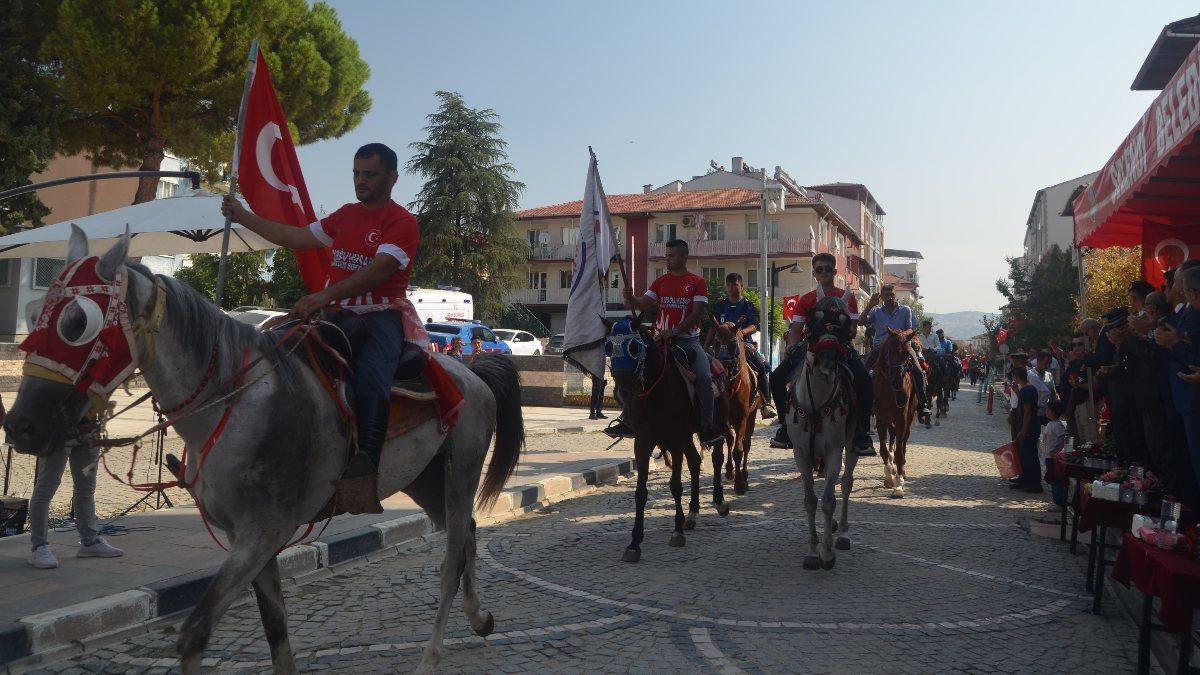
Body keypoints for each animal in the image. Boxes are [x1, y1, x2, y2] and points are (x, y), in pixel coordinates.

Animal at [4, 227, 523, 672]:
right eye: (37, 314)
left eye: (78, 322)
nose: (20, 425)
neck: (233, 403)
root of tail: (473, 373)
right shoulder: (248, 539)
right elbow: (275, 626)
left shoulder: (262, 532)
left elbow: (194, 634)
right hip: (424, 480)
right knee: (467, 533)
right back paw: (480, 618)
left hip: (460, 472)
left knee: (451, 557)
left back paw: (431, 655)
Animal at [710, 319, 758, 487]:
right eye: (716, 343)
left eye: (733, 343)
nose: (721, 366)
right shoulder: (720, 418)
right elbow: (727, 444)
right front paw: (730, 472)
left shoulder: (742, 417)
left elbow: (739, 449)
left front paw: (740, 484)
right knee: (731, 439)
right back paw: (730, 470)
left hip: (751, 416)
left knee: (746, 443)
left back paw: (744, 473)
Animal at [782, 296, 859, 564]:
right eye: (813, 319)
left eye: (845, 323)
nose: (827, 356)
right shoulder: (802, 454)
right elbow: (810, 501)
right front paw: (813, 551)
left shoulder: (835, 451)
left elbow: (828, 501)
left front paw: (826, 552)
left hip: (852, 445)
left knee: (846, 484)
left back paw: (843, 532)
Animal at [873, 329, 916, 497]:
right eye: (889, 352)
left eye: (907, 354)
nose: (897, 381)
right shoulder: (881, 419)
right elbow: (883, 451)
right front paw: (889, 478)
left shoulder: (901, 419)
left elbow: (899, 452)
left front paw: (898, 485)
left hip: (908, 418)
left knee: (902, 444)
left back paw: (902, 471)